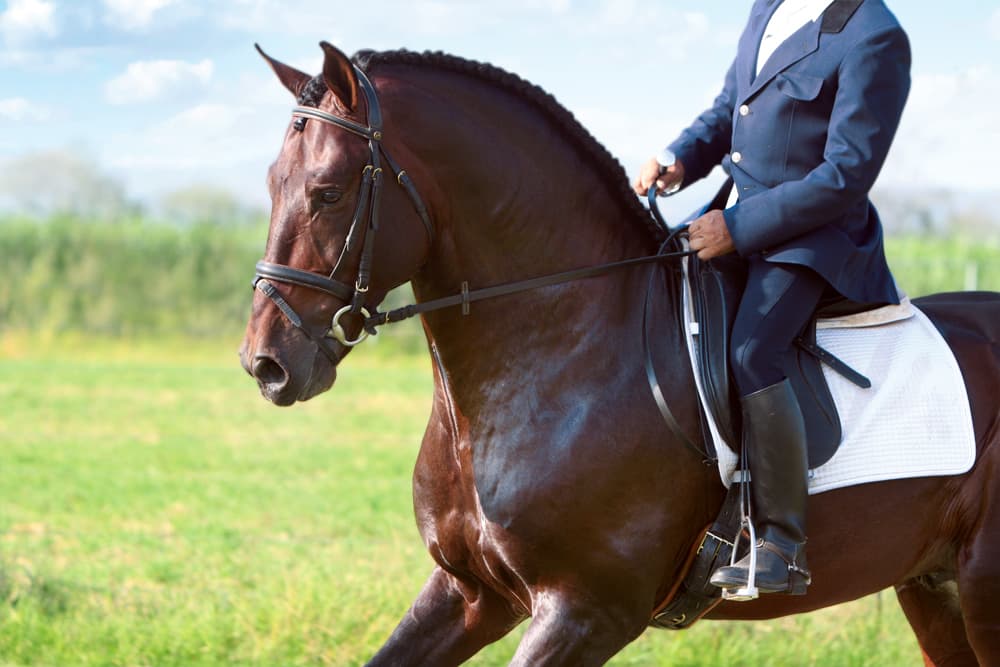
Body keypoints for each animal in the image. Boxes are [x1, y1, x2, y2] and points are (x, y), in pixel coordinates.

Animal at [239, 41, 1000, 666]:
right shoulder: (472, 591)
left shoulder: (586, 611)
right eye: (272, 184)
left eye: (328, 192)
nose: (265, 364)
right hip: (932, 587)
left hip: (981, 587)